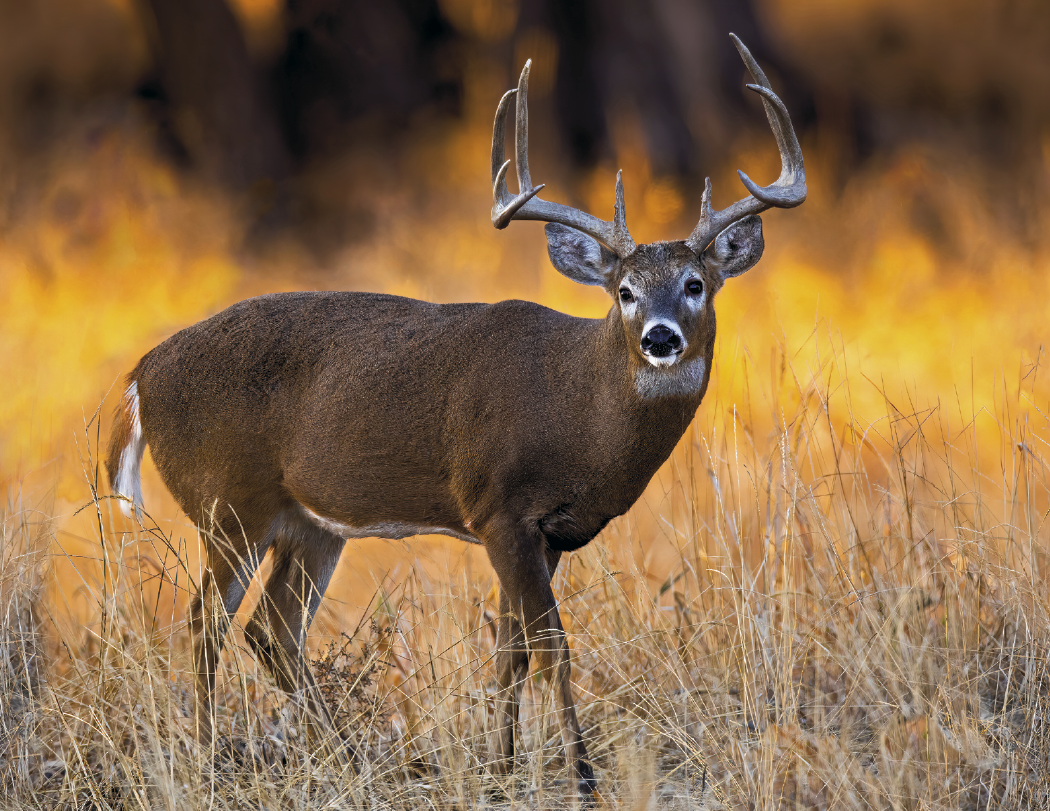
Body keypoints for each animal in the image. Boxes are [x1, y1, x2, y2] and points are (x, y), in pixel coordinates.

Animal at [105, 34, 804, 798]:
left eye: (695, 284)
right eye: (623, 291)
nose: (659, 337)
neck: (581, 415)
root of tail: (140, 373)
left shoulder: (547, 532)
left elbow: (510, 650)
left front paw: (501, 767)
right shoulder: (499, 507)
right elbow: (550, 646)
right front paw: (581, 776)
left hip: (307, 521)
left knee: (272, 629)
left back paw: (346, 758)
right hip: (228, 501)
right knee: (206, 621)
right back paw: (209, 762)